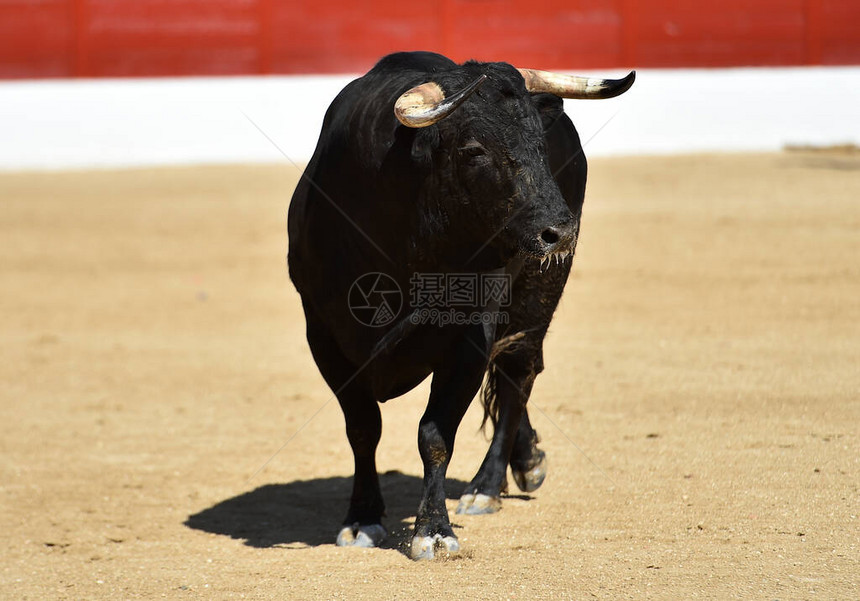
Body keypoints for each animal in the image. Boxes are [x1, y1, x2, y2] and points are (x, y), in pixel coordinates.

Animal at [288, 50, 632, 556]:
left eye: (539, 142)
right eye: (473, 150)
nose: (560, 231)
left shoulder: (468, 337)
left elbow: (435, 432)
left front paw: (433, 529)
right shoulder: (324, 337)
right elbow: (363, 427)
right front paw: (362, 519)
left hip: (540, 290)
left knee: (516, 374)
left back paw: (486, 487)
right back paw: (527, 460)